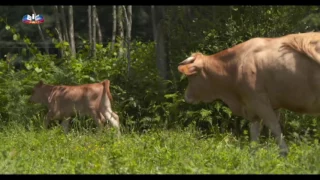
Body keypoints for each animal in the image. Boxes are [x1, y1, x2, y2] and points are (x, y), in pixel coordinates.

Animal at [178, 32, 320, 156]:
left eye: (191, 77)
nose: (186, 96)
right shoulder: (258, 107)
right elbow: (255, 132)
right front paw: (253, 155)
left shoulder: (259, 101)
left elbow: (274, 127)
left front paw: (284, 152)